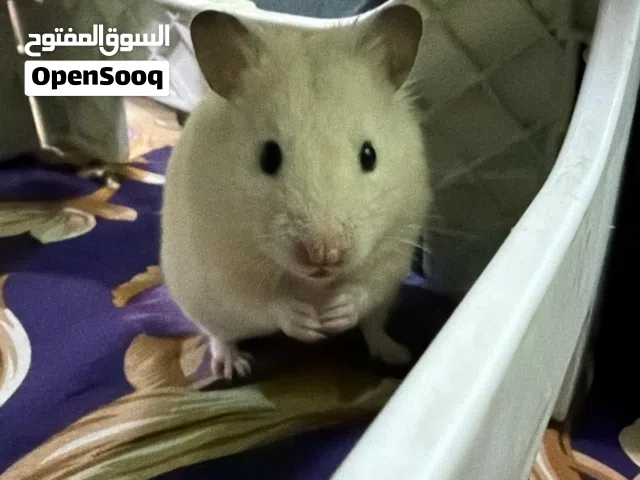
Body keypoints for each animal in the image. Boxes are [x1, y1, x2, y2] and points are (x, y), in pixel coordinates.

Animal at [160, 4, 430, 380]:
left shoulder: (395, 248)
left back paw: (397, 355)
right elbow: (264, 302)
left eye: (369, 154)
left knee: (374, 327)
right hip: (200, 302)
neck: (314, 284)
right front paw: (310, 324)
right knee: (220, 335)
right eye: (268, 157)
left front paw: (334, 315)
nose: (324, 255)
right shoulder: (221, 270)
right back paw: (233, 368)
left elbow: (367, 287)